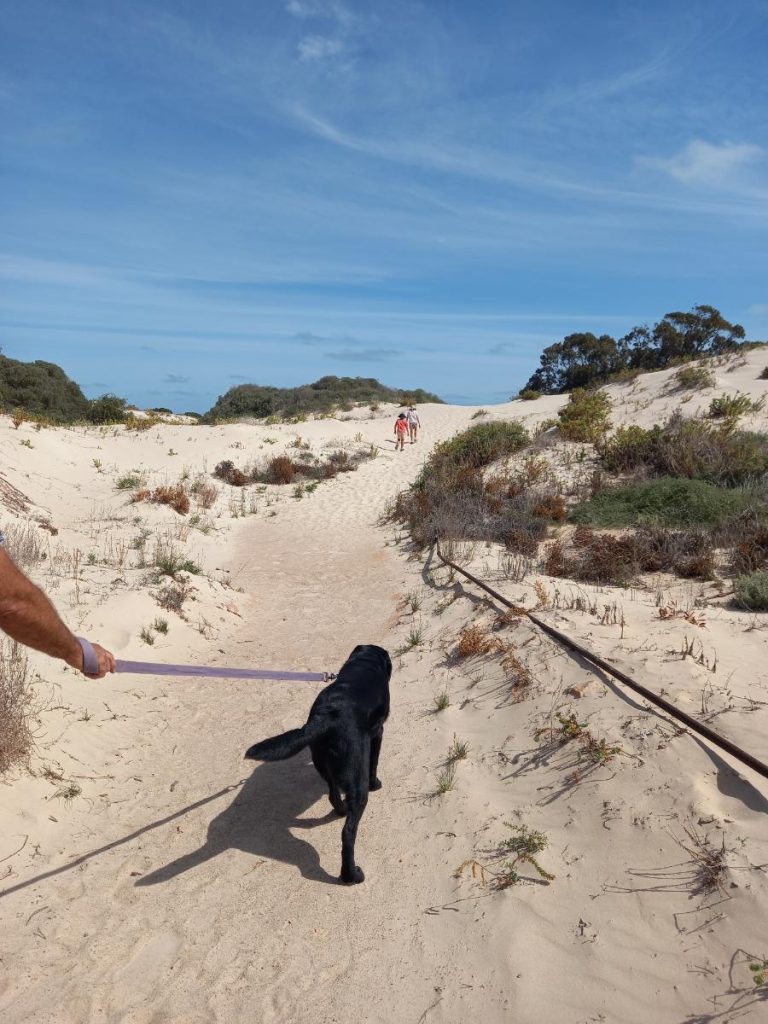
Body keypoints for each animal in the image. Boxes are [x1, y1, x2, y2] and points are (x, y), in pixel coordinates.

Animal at [244, 643, 391, 884]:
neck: (364, 663)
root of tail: (325, 718)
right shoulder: (378, 731)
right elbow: (374, 762)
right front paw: (376, 783)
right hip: (356, 779)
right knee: (348, 832)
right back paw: (351, 875)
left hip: (322, 763)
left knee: (333, 795)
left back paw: (340, 811)